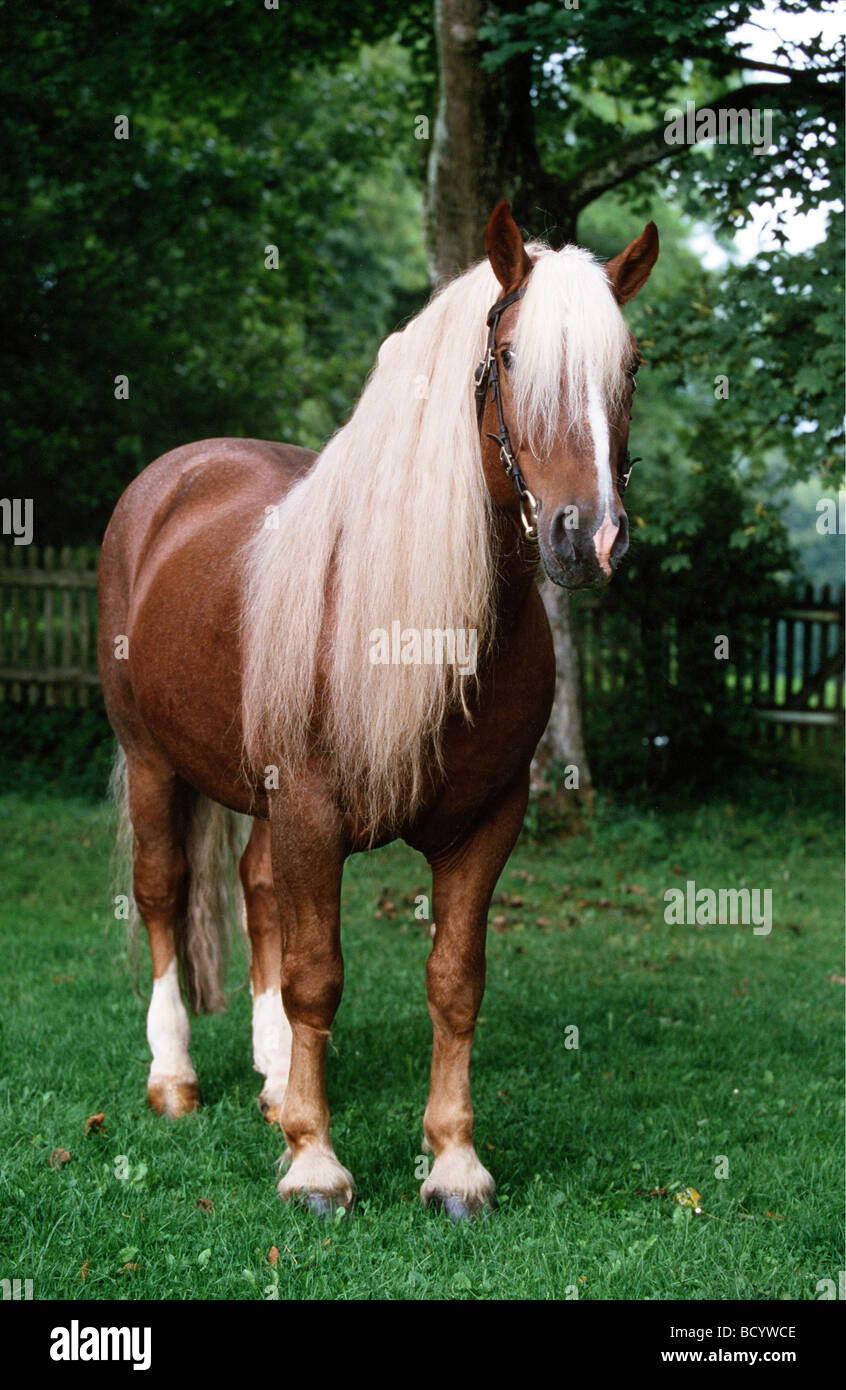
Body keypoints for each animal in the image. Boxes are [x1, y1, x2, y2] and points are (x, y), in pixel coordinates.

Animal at [97, 202, 658, 1218]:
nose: (588, 537)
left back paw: (274, 1075)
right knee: (163, 892)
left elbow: (455, 982)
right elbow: (319, 978)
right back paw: (175, 1078)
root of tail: (171, 479)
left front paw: (454, 1165)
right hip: (153, 760)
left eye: (629, 366)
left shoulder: (486, 822)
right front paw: (315, 1164)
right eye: (507, 356)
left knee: (256, 888)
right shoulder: (314, 813)